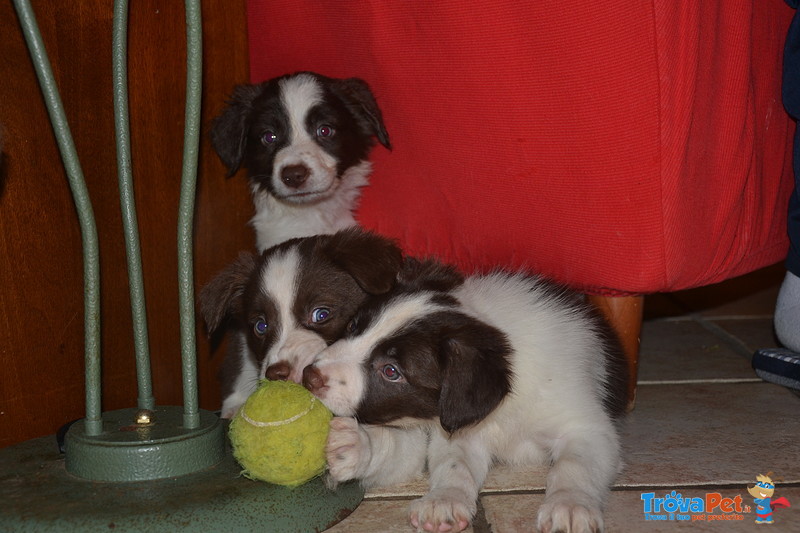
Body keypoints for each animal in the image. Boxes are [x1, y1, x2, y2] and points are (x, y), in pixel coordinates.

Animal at [304, 254, 628, 532]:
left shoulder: (586, 427)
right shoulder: (454, 432)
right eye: (353, 326)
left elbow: (574, 464)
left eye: (391, 371)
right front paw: (443, 499)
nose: (309, 376)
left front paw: (570, 505)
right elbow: (453, 464)